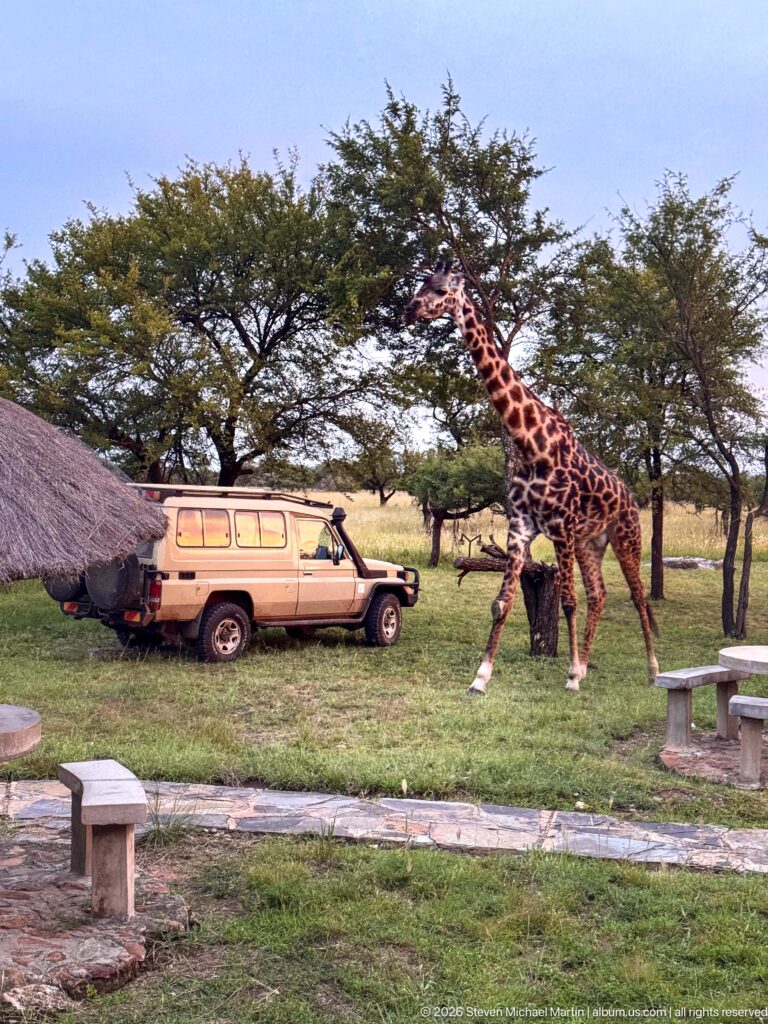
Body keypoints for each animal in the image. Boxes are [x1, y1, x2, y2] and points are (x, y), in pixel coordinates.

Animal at [404, 261, 659, 693]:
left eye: (439, 289)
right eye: (421, 284)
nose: (409, 309)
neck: (531, 443)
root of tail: (630, 495)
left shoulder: (561, 526)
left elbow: (568, 602)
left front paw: (570, 677)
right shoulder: (521, 527)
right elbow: (501, 603)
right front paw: (481, 677)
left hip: (627, 536)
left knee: (638, 597)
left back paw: (653, 670)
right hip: (591, 543)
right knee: (600, 594)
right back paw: (587, 664)